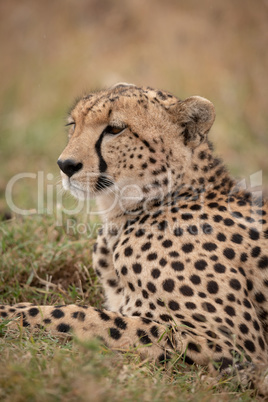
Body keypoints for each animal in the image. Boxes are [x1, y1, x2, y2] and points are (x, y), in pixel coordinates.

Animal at [0, 82, 268, 386]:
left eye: (115, 129)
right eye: (73, 124)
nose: (65, 165)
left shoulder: (238, 350)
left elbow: (85, 315)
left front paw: (10, 314)